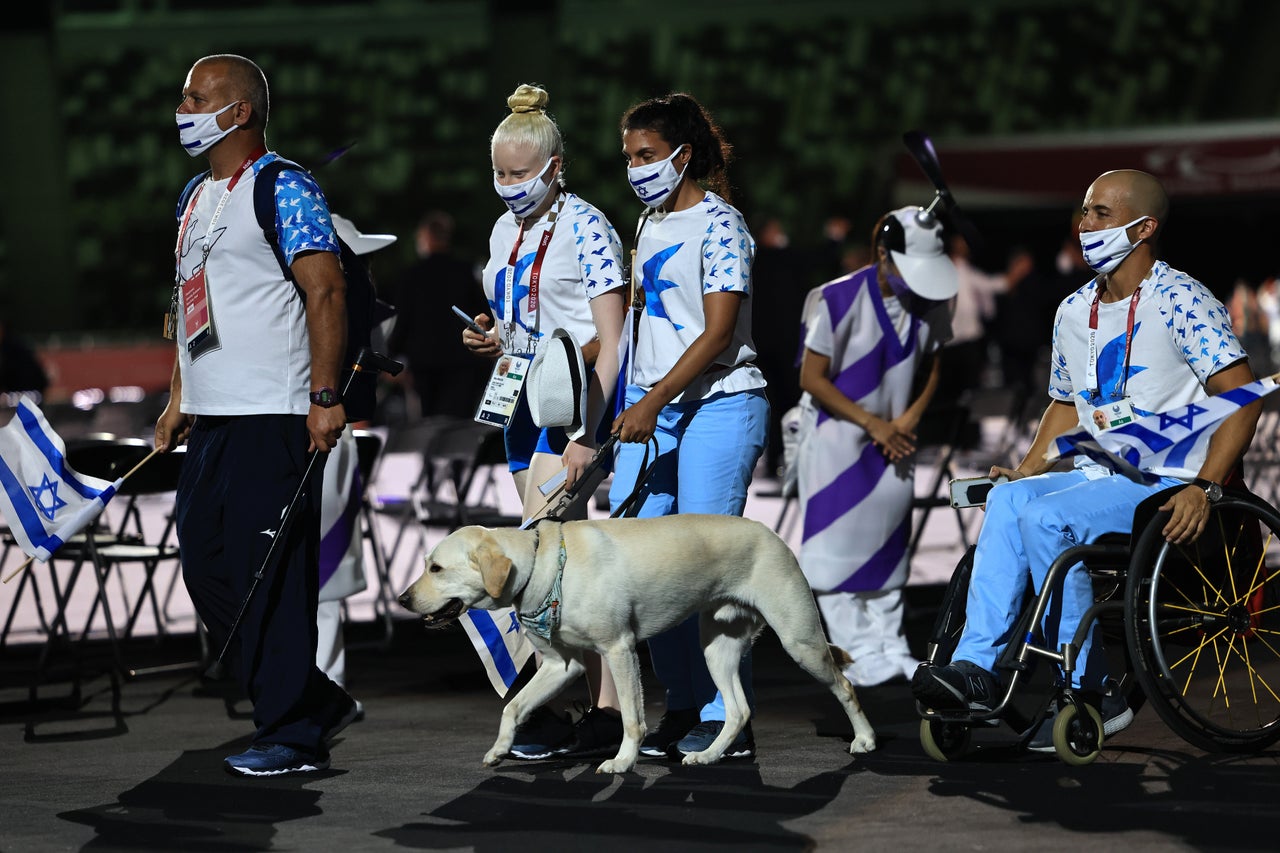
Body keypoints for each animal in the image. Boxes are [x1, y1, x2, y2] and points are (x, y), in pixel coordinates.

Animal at [399, 512, 880, 768]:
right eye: (424, 565)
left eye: (436, 568)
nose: (402, 599)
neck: (543, 564)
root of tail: (773, 533)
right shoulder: (561, 666)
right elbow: (512, 707)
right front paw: (500, 749)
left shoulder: (619, 649)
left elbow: (632, 718)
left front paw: (623, 762)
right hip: (717, 649)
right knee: (739, 710)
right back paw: (709, 756)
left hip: (801, 643)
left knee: (846, 686)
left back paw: (865, 740)